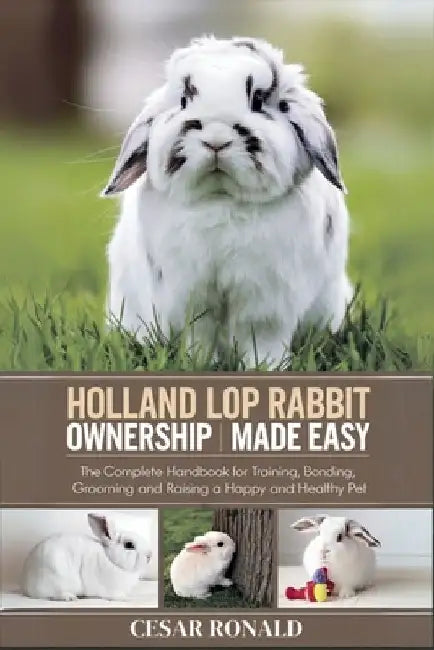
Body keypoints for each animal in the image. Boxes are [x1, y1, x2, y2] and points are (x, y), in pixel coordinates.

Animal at [21, 513, 152, 601]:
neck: (111, 560)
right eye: (129, 545)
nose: (150, 555)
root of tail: (26, 585)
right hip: (56, 579)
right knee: (52, 594)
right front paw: (126, 598)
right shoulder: (110, 589)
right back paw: (69, 597)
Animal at [103, 35, 352, 364]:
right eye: (184, 101)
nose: (216, 139)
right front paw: (198, 364)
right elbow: (200, 335)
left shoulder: (267, 301)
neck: (221, 201)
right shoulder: (191, 295)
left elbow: (262, 340)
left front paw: (266, 367)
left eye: (258, 100)